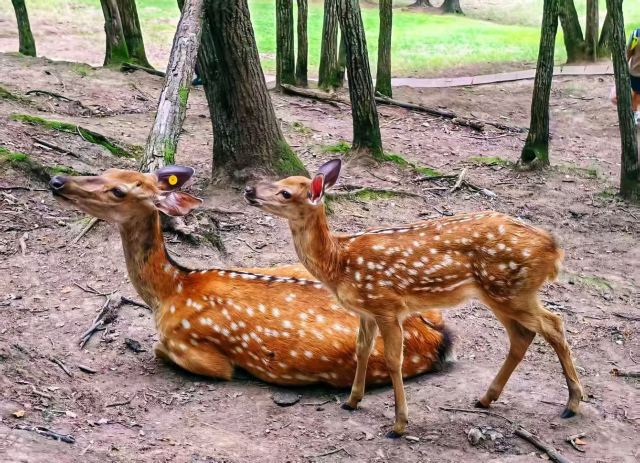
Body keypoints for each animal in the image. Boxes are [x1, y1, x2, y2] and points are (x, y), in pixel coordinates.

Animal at [48, 166, 454, 388]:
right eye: (108, 171)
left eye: (118, 190)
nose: (57, 180)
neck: (171, 290)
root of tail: (436, 340)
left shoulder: (198, 351)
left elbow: (159, 348)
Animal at [245, 158, 583, 437]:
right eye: (281, 180)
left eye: (285, 193)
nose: (249, 190)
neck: (340, 263)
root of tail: (554, 249)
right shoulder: (366, 311)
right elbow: (362, 350)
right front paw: (352, 401)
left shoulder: (387, 305)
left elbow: (394, 360)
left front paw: (399, 424)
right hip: (499, 293)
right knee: (522, 335)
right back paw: (486, 398)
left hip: (512, 290)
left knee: (554, 324)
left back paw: (572, 404)